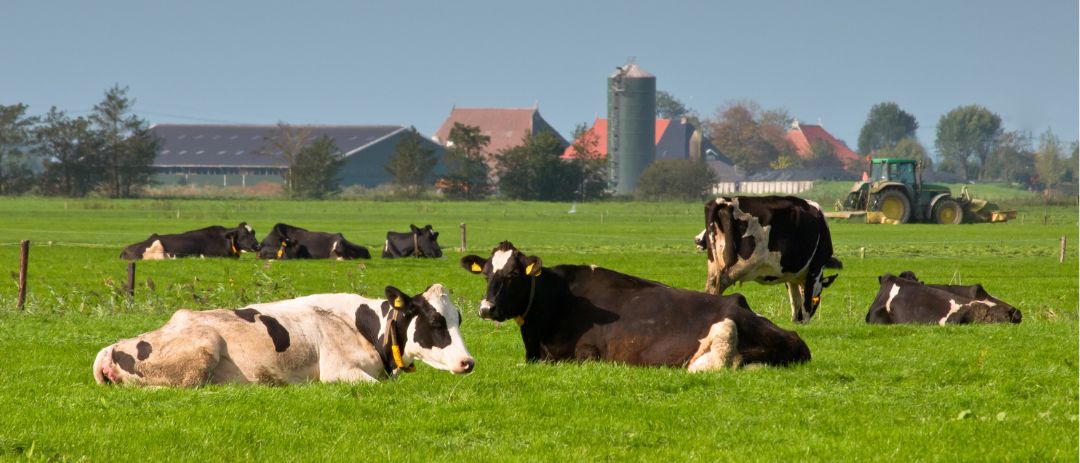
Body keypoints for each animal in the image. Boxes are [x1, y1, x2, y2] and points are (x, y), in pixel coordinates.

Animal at [95, 282, 475, 384]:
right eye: (435, 321)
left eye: (458, 319)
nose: (468, 362)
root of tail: (109, 349)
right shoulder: (337, 372)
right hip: (204, 348)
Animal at [457, 239, 812, 369]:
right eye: (486, 273)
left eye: (513, 275)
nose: (486, 308)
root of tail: (796, 340)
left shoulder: (588, 354)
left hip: (724, 332)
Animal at [691, 195, 842, 321]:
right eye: (818, 299)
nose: (697, 239)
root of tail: (724, 201)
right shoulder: (816, 267)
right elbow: (806, 300)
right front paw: (804, 321)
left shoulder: (790, 275)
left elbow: (795, 299)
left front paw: (796, 321)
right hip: (734, 268)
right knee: (719, 287)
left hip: (713, 267)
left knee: (709, 288)